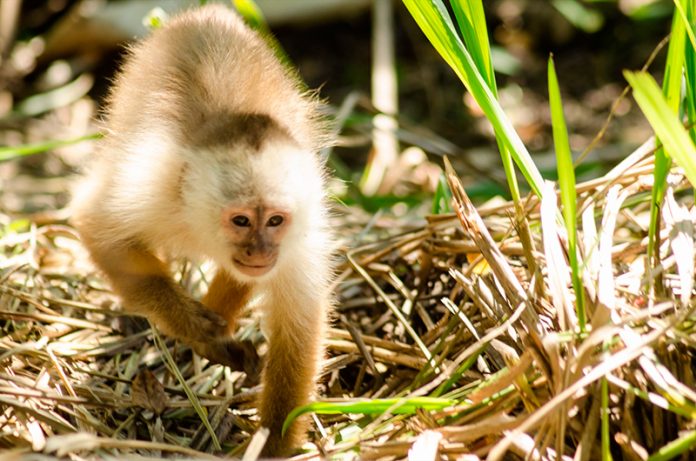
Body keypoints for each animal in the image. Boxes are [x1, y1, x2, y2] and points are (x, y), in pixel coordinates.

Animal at [70, 5, 333, 457]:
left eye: (275, 220)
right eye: (241, 220)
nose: (260, 252)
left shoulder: (303, 230)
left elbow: (298, 327)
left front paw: (271, 442)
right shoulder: (151, 190)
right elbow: (97, 228)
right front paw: (195, 329)